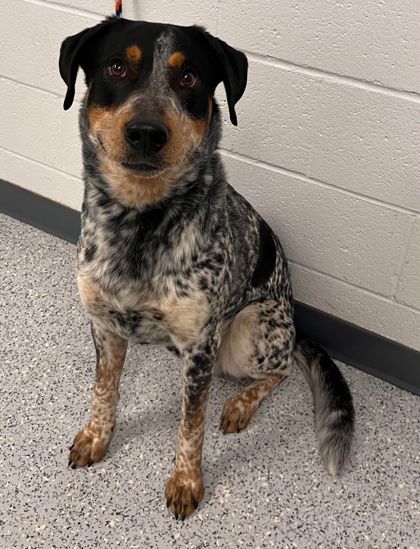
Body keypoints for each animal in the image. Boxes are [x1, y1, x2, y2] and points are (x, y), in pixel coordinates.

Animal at [59, 17, 354, 520]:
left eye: (189, 77)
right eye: (116, 67)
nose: (146, 132)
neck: (139, 221)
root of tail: (294, 325)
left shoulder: (200, 344)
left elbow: (191, 425)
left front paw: (186, 481)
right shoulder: (104, 324)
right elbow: (104, 389)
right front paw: (97, 437)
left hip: (249, 331)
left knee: (278, 371)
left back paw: (240, 405)